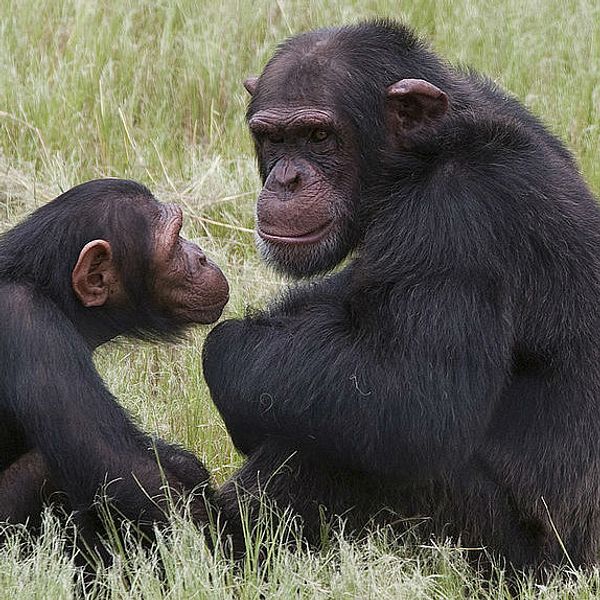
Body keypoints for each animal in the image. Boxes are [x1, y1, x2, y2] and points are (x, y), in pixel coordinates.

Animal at [203, 19, 600, 572]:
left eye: (319, 135)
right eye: (273, 138)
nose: (287, 178)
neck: (425, 155)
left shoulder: (457, 220)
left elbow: (415, 398)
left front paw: (226, 348)